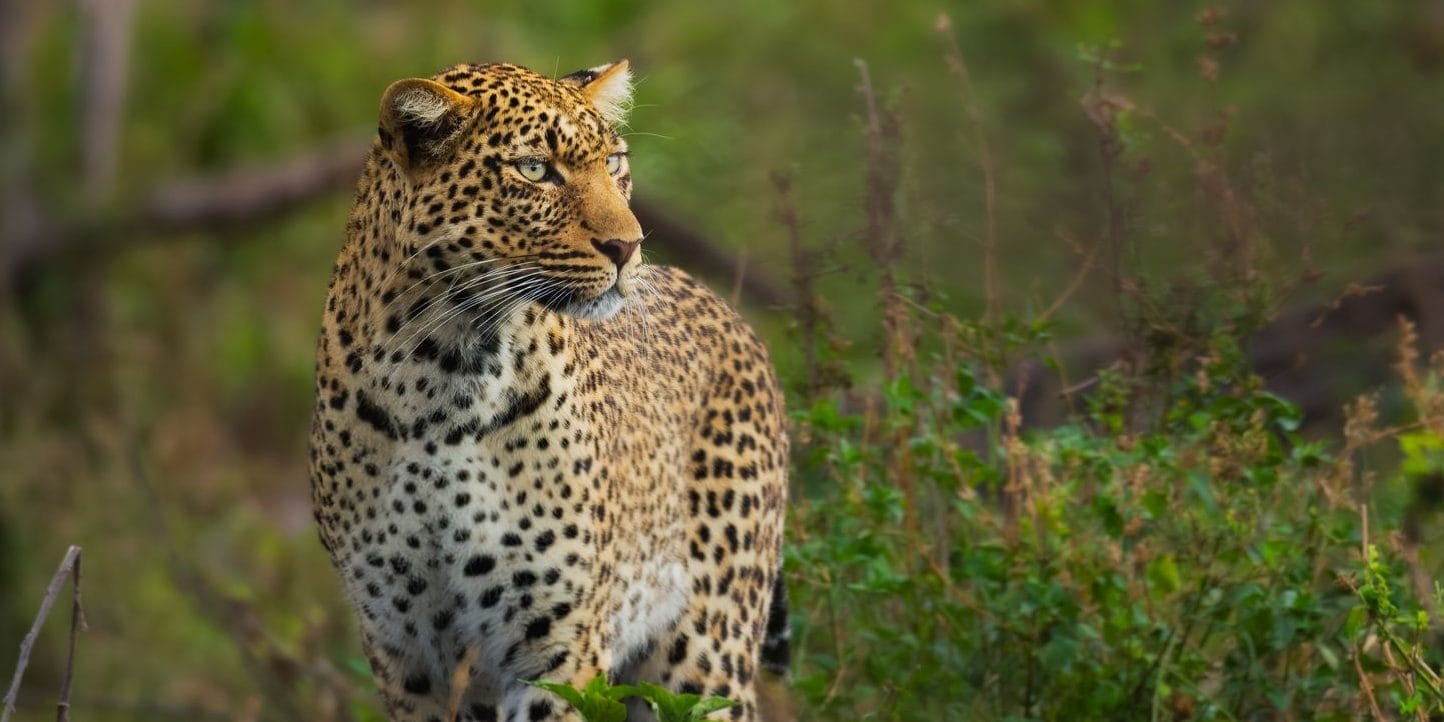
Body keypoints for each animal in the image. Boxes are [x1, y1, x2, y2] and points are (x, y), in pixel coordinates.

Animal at [308, 60, 790, 722]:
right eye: (535, 169)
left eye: (614, 162)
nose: (629, 247)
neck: (440, 378)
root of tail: (725, 304)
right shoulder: (403, 650)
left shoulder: (557, 646)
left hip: (705, 656)